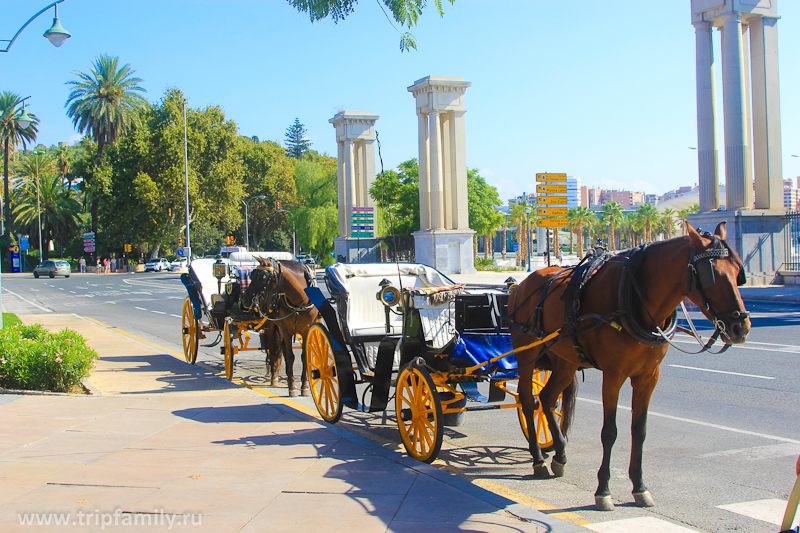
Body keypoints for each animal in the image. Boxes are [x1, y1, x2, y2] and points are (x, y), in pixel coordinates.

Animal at [244, 258, 318, 394]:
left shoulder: (306, 330)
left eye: (263, 276)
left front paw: (304, 386)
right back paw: (274, 378)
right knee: (273, 349)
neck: (299, 303)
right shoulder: (286, 331)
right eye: (253, 273)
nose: (245, 299)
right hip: (271, 325)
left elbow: (304, 356)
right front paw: (293, 387)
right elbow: (290, 356)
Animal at [506, 221, 752, 512]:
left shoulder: (648, 376)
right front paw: (603, 490)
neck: (634, 297)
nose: (740, 327)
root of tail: (521, 285)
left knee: (546, 398)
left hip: (565, 360)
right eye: (712, 273)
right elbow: (610, 432)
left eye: (738, 272)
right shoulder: (614, 375)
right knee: (527, 400)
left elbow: (640, 430)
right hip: (527, 354)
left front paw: (640, 486)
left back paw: (560, 454)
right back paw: (538, 459)